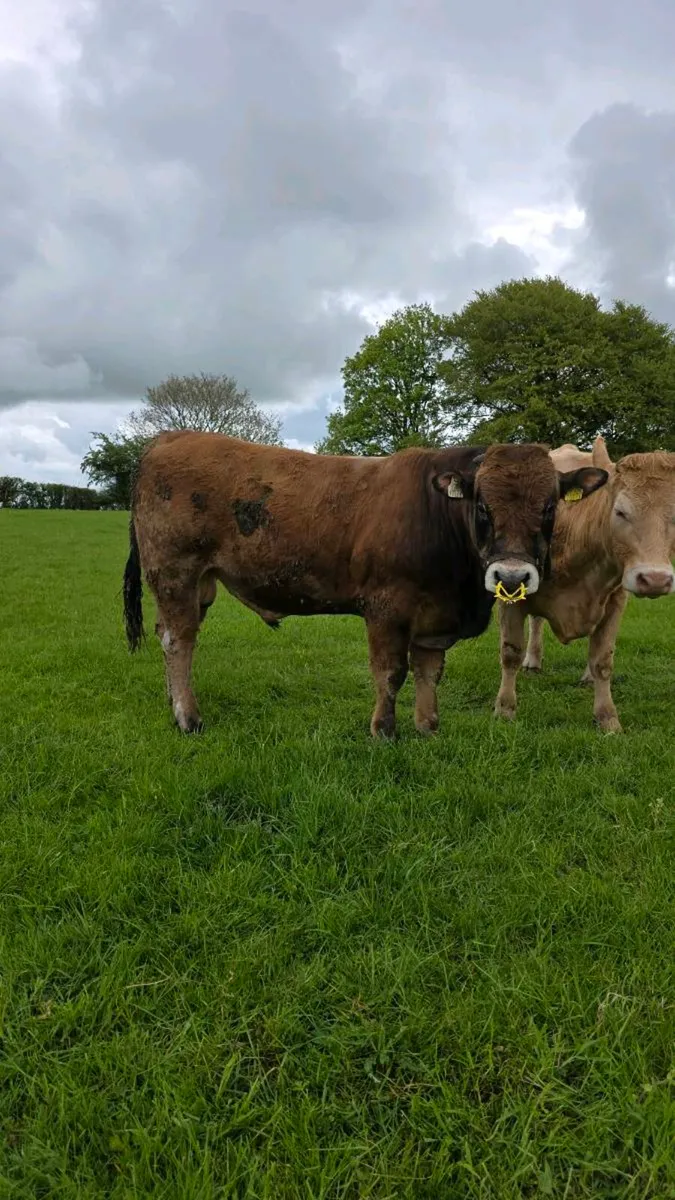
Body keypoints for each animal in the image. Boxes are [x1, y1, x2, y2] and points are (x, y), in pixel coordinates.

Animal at [122, 431, 607, 737]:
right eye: (482, 506)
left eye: (550, 507)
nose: (511, 576)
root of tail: (171, 437)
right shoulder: (386, 608)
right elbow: (391, 673)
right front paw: (384, 730)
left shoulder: (436, 616)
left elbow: (429, 671)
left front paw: (427, 727)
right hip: (176, 572)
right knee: (179, 641)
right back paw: (188, 717)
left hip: (197, 584)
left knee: (171, 636)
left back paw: (173, 702)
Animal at [494, 439, 675, 732]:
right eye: (620, 512)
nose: (655, 579)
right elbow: (510, 652)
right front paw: (504, 709)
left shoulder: (615, 600)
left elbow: (602, 659)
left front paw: (607, 717)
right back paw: (533, 660)